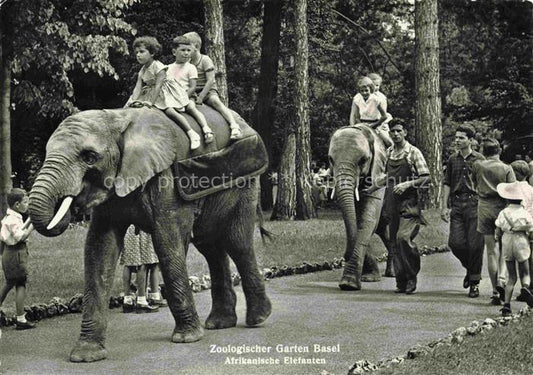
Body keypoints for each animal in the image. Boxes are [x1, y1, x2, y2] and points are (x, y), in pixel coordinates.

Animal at [28, 105, 270, 362]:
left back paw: (257, 319)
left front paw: (186, 338)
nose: (67, 207)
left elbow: (167, 243)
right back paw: (219, 323)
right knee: (210, 246)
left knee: (237, 242)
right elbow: (98, 250)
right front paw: (86, 355)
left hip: (245, 185)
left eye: (89, 157)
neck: (117, 118)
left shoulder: (166, 181)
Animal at [326, 125, 392, 292]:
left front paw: (349, 284)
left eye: (363, 160)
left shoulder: (379, 173)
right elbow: (357, 222)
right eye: (331, 159)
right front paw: (368, 278)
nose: (344, 256)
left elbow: (367, 220)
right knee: (383, 229)